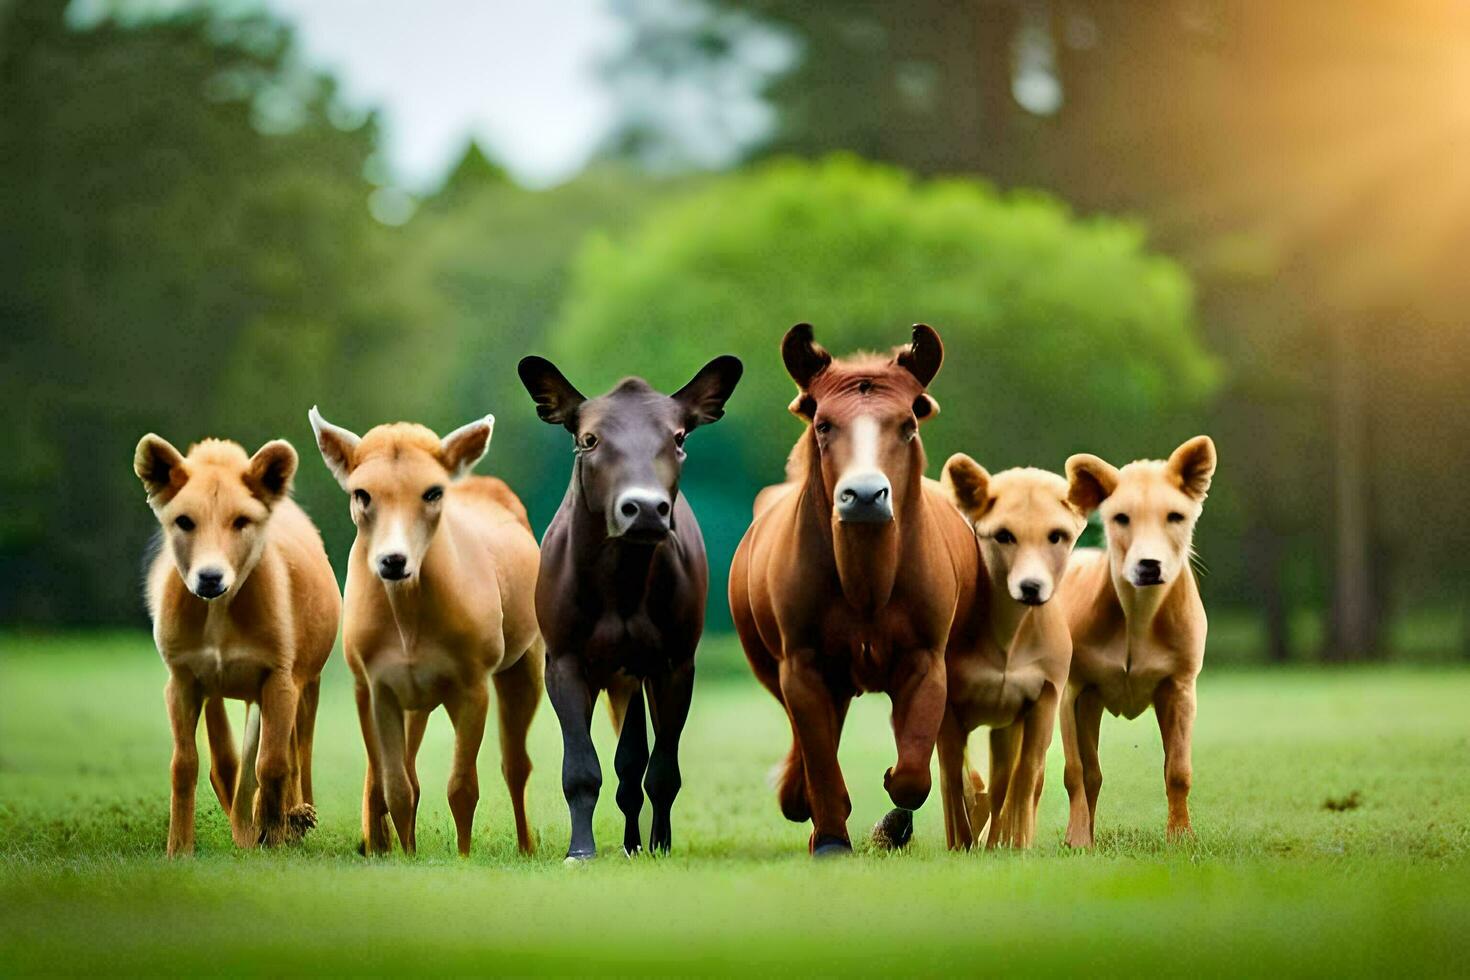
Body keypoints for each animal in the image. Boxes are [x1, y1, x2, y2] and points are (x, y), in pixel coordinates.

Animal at [523, 354, 740, 858]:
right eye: (589, 439)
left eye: (678, 438)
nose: (643, 508)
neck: (620, 585)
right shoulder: (563, 658)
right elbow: (581, 768)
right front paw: (580, 849)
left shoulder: (676, 662)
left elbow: (661, 770)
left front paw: (660, 844)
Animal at [729, 326, 981, 852]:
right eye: (824, 425)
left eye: (907, 425)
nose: (864, 495)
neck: (866, 576)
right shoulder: (801, 665)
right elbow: (819, 753)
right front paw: (829, 837)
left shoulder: (927, 659)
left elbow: (912, 773)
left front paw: (892, 819)